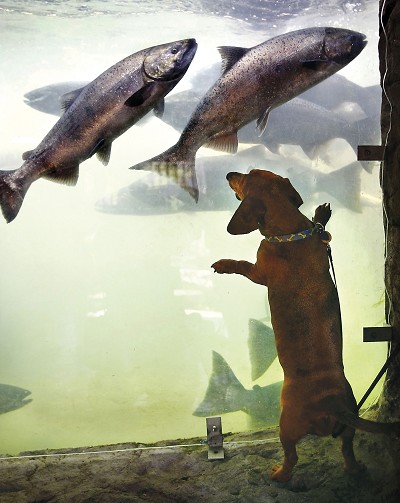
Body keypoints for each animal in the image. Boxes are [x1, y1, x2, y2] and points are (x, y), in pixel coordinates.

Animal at [211, 170, 398, 484]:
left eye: (245, 177)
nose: (228, 174)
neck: (290, 233)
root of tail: (331, 403)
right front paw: (321, 213)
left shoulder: (258, 272)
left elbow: (242, 265)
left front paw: (223, 264)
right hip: (347, 431)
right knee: (347, 451)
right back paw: (355, 469)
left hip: (285, 426)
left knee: (292, 457)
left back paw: (279, 474)